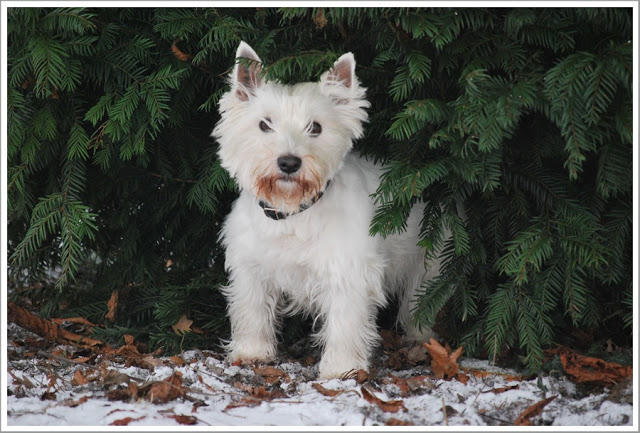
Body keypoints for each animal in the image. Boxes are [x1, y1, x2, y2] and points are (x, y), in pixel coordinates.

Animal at [215, 41, 440, 378]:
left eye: (316, 127)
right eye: (264, 124)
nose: (289, 162)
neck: (292, 213)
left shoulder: (348, 272)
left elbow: (345, 323)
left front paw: (341, 368)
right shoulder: (251, 268)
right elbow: (251, 310)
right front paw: (251, 352)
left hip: (427, 263)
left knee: (420, 303)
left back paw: (421, 339)